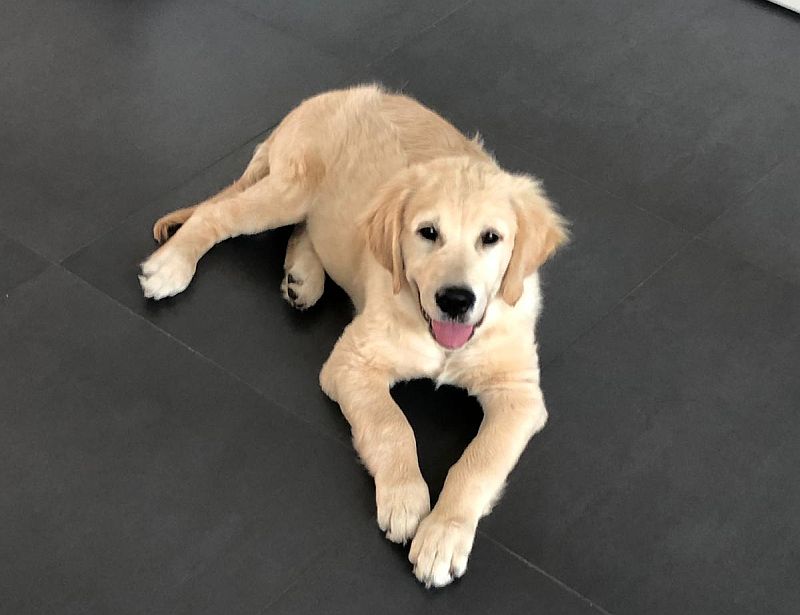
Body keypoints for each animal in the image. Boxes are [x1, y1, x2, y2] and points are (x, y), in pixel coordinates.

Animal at [139, 85, 568, 587]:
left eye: (491, 238)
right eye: (428, 232)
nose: (455, 300)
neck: (439, 339)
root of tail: (330, 95)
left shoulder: (519, 394)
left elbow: (480, 462)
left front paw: (443, 536)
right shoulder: (351, 363)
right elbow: (391, 425)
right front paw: (405, 499)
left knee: (305, 229)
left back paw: (302, 278)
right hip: (288, 190)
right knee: (216, 213)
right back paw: (172, 265)